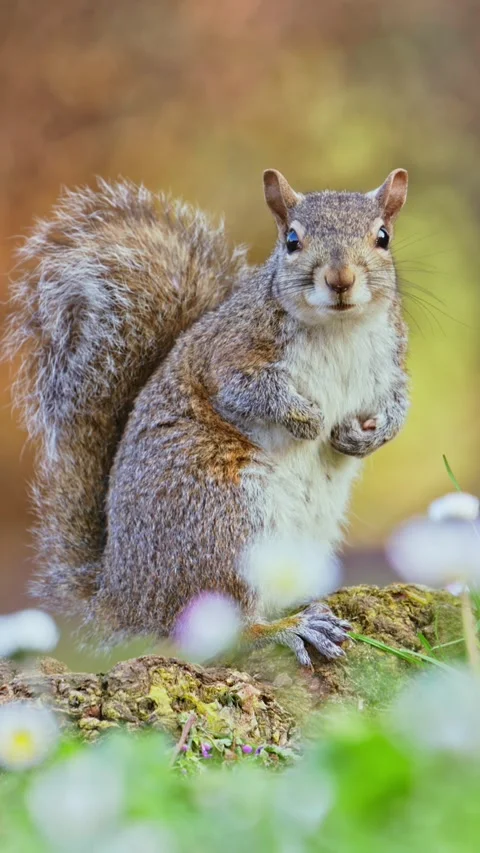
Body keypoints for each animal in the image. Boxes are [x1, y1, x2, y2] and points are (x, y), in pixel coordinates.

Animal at [6, 168, 409, 666]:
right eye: (292, 240)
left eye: (383, 237)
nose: (340, 278)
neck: (340, 328)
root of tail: (121, 605)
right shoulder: (228, 356)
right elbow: (248, 392)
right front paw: (306, 420)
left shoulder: (390, 363)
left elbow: (398, 403)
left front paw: (368, 435)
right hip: (222, 521)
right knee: (225, 628)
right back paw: (291, 628)